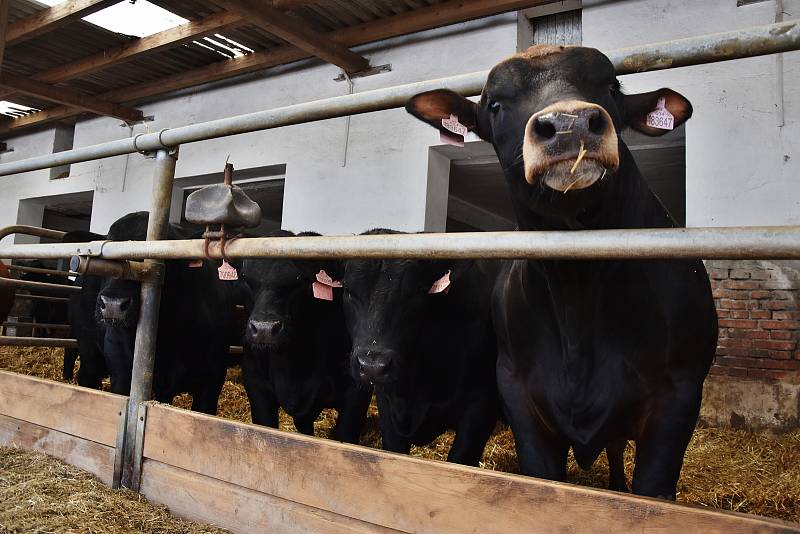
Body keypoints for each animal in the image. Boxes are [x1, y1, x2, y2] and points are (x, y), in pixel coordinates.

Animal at [406, 44, 720, 500]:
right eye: (495, 104)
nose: (570, 125)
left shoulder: (677, 397)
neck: (576, 287)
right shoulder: (519, 394)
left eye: (612, 87)